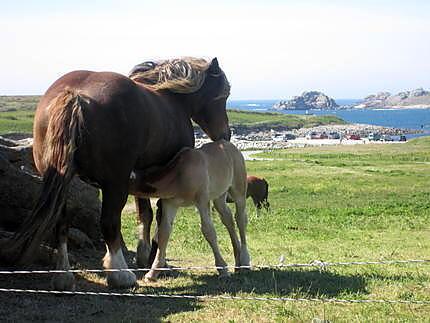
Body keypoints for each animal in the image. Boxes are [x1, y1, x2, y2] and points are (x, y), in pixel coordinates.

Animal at [3, 56, 230, 292]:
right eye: (223, 95)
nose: (226, 134)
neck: (173, 101)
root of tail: (75, 94)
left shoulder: (142, 179)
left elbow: (145, 214)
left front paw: (144, 256)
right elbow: (159, 218)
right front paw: (154, 260)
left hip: (64, 182)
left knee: (61, 222)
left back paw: (63, 276)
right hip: (115, 184)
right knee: (109, 223)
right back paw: (120, 274)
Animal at [130, 140, 252, 282]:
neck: (179, 175)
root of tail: (231, 146)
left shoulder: (202, 200)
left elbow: (208, 231)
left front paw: (222, 268)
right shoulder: (170, 204)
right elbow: (164, 232)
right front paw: (152, 273)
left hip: (239, 189)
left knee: (240, 218)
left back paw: (244, 261)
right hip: (219, 196)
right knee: (228, 218)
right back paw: (237, 263)